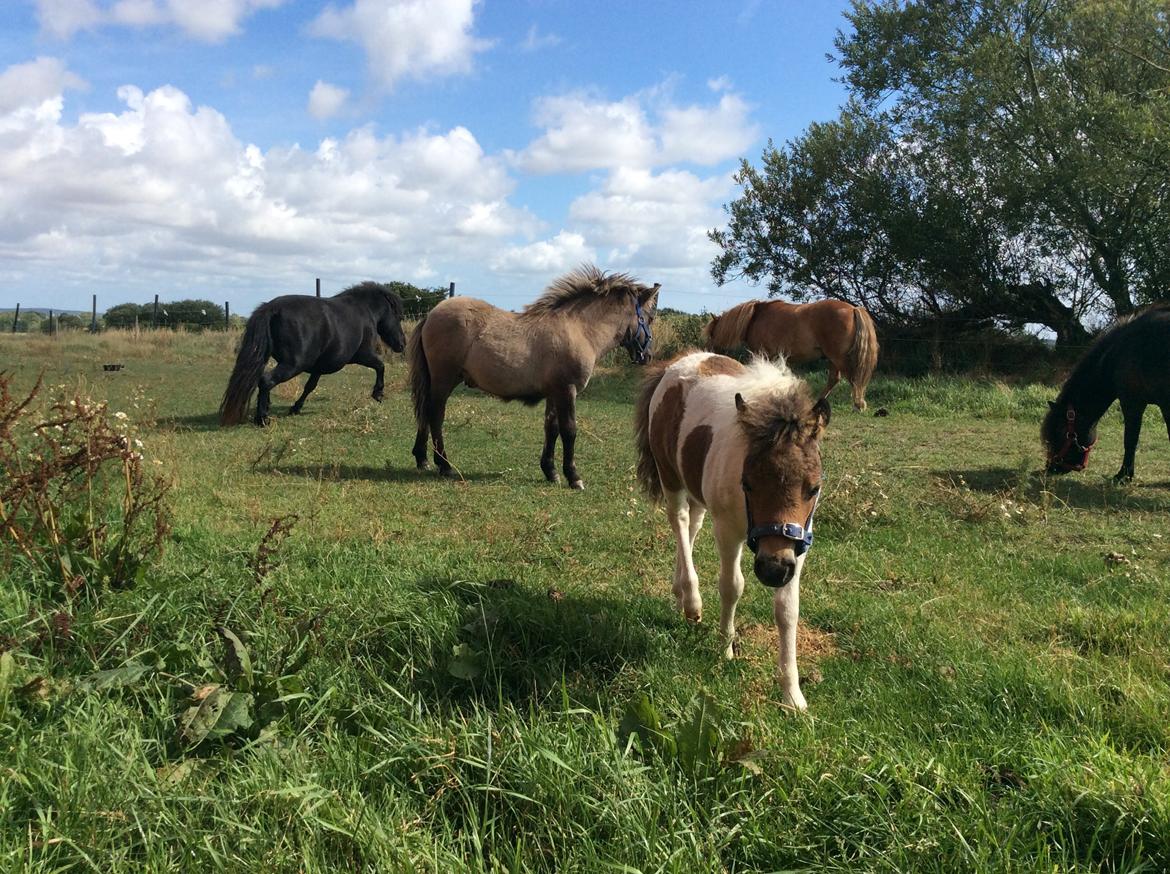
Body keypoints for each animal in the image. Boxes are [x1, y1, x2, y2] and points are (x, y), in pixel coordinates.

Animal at [219, 284, 407, 428]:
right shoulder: (363, 354)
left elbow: (310, 386)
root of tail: (272, 308)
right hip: (293, 365)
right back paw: (263, 419)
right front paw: (378, 393)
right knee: (266, 380)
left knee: (261, 379)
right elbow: (380, 366)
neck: (364, 311)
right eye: (398, 317)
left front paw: (295, 408)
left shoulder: (319, 367)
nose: (402, 344)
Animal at [411, 263, 659, 489]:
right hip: (444, 379)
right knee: (435, 414)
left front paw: (550, 471)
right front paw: (573, 476)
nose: (647, 355)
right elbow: (569, 430)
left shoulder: (554, 393)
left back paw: (422, 458)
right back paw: (444, 465)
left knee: (426, 413)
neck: (579, 329)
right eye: (648, 318)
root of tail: (432, 314)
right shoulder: (567, 390)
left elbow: (552, 428)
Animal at [636, 351, 828, 711]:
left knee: (693, 526)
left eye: (813, 488)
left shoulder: (797, 545)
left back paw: (679, 594)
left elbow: (787, 610)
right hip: (671, 477)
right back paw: (691, 601)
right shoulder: (727, 530)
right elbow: (731, 586)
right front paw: (725, 649)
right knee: (680, 521)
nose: (772, 569)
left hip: (696, 485)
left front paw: (792, 694)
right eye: (748, 483)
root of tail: (679, 361)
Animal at [702, 299, 879, 411]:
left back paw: (857, 405)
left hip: (837, 357)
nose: (708, 352)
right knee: (835, 380)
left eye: (711, 334)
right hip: (833, 359)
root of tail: (853, 309)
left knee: (853, 379)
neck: (754, 318)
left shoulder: (762, 354)